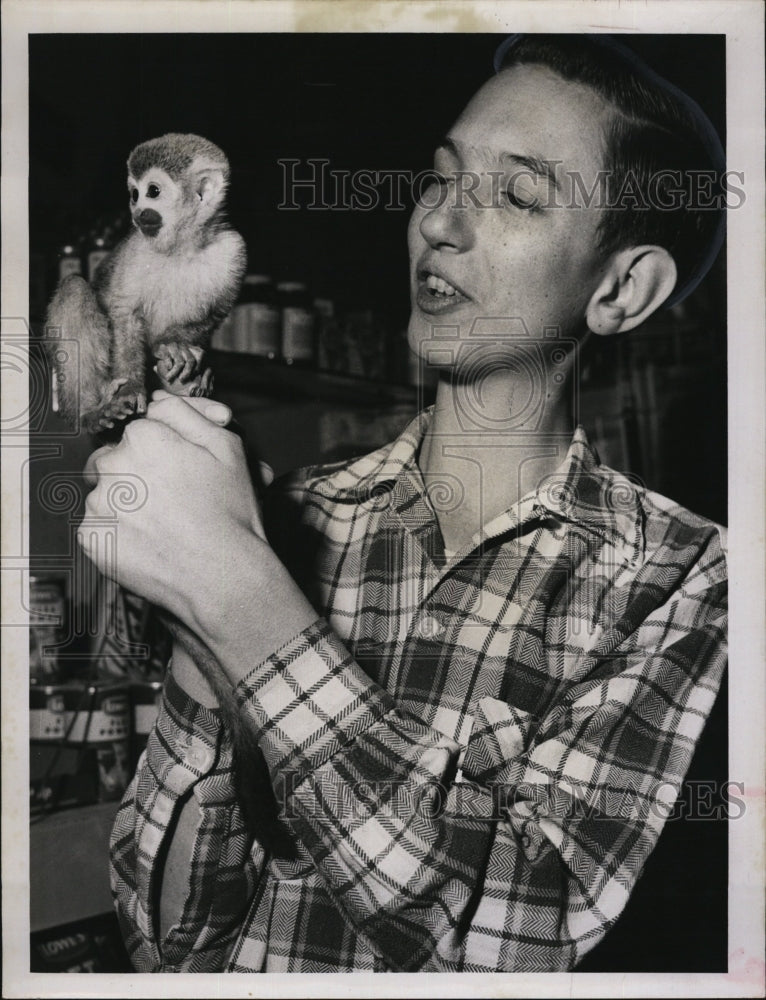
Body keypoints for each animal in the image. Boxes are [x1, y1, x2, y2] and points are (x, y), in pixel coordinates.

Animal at [45, 133, 246, 433]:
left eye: (152, 191)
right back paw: (89, 412)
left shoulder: (234, 249)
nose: (138, 212)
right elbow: (124, 313)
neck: (182, 247)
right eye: (134, 194)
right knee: (73, 288)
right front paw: (131, 386)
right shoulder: (136, 248)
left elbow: (216, 312)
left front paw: (172, 343)